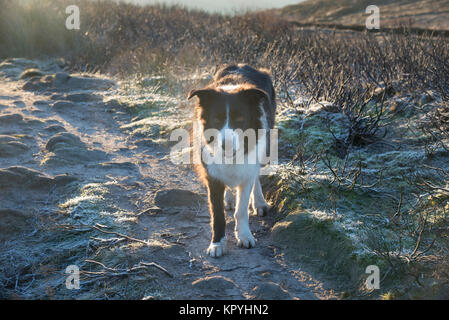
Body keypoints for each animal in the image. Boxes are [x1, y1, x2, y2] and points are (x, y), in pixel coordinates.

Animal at [187, 64, 274, 258]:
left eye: (240, 119)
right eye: (216, 119)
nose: (225, 145)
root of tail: (242, 65)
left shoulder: (248, 168)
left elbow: (241, 210)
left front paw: (244, 235)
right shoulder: (212, 175)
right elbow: (217, 214)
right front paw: (217, 243)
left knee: (256, 175)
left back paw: (259, 202)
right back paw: (229, 199)